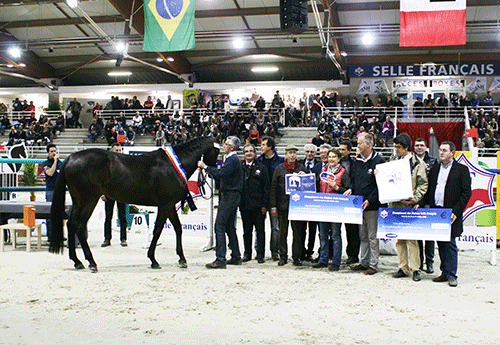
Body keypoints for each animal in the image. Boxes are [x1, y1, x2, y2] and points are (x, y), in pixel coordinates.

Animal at [49, 136, 220, 270]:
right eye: (217, 152)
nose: (213, 172)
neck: (173, 165)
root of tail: (71, 158)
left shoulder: (169, 205)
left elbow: (177, 228)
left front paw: (181, 259)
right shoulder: (165, 205)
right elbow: (158, 230)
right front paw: (154, 259)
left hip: (78, 201)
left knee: (71, 224)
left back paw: (77, 261)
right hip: (89, 200)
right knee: (78, 225)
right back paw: (91, 262)